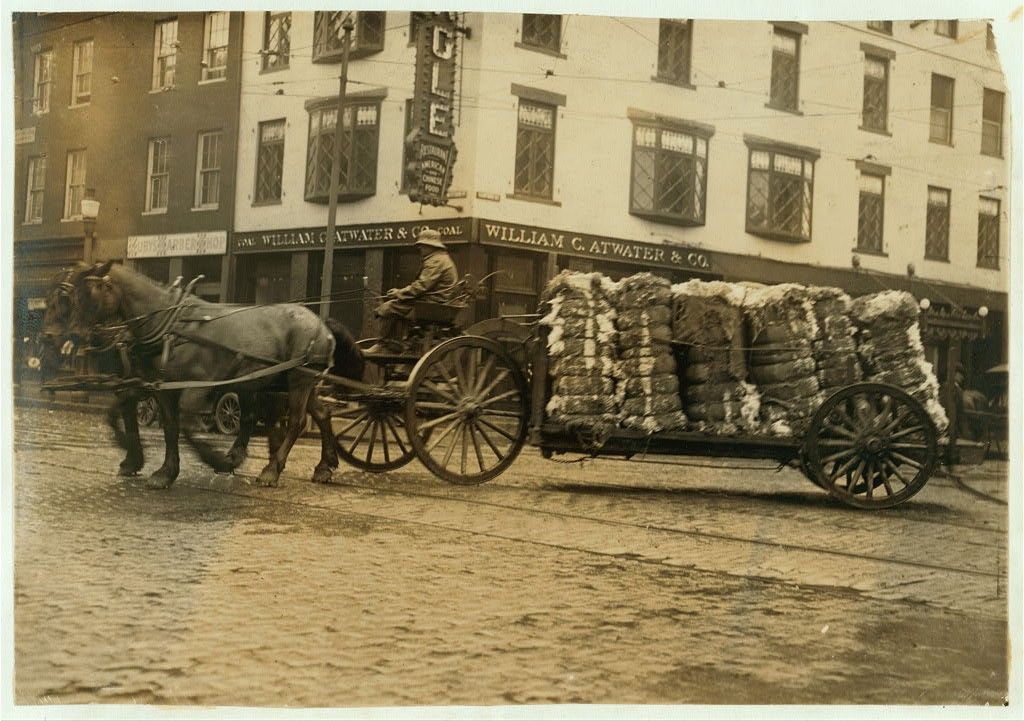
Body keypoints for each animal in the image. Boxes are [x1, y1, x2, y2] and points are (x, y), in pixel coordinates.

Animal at [67, 259, 360, 489]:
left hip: (300, 379)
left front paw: (217, 459)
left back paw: (271, 470)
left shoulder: (197, 387)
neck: (171, 327)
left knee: (297, 422)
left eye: (89, 292)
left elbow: (187, 425)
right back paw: (324, 465)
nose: (74, 336)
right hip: (291, 381)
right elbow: (171, 426)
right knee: (322, 414)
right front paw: (164, 472)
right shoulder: (164, 388)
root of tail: (321, 322)